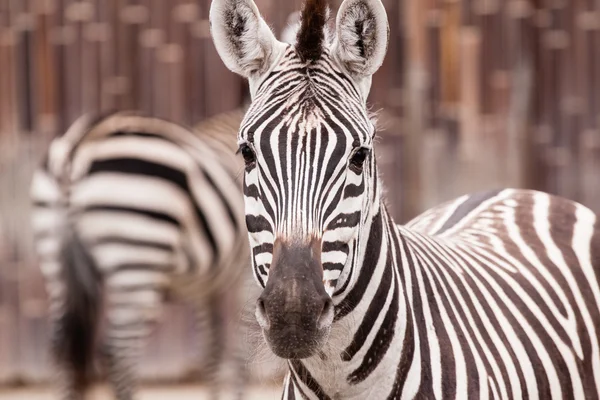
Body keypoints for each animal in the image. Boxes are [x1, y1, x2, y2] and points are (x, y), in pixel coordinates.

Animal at [29, 110, 250, 400]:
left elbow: (212, 347)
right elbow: (240, 348)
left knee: (61, 349)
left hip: (55, 260)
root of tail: (80, 142)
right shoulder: (247, 275)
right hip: (136, 256)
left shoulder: (205, 285)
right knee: (117, 352)